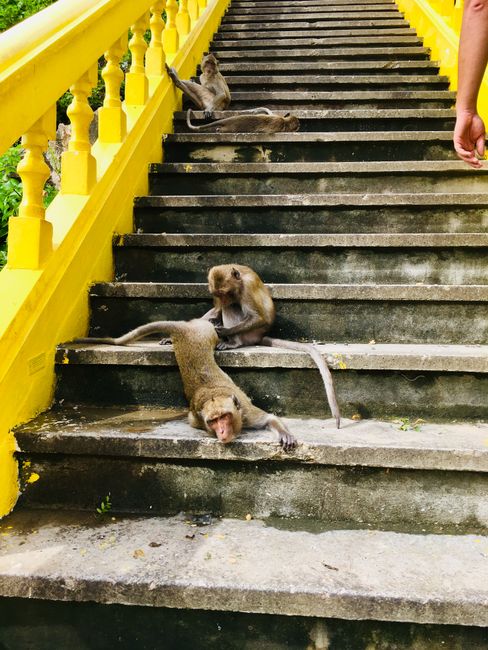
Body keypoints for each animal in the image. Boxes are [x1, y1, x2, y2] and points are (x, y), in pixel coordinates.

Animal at [75, 316, 298, 448]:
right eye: (213, 421)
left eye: (224, 416)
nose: (222, 432)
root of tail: (184, 328)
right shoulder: (197, 420)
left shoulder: (246, 413)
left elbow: (269, 418)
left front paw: (285, 434)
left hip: (205, 332)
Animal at [202, 260, 340, 428]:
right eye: (217, 295)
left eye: (225, 293)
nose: (223, 300)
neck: (239, 281)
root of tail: (260, 336)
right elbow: (218, 309)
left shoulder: (247, 287)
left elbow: (257, 317)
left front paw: (224, 331)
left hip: (250, 334)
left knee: (231, 308)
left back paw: (234, 342)